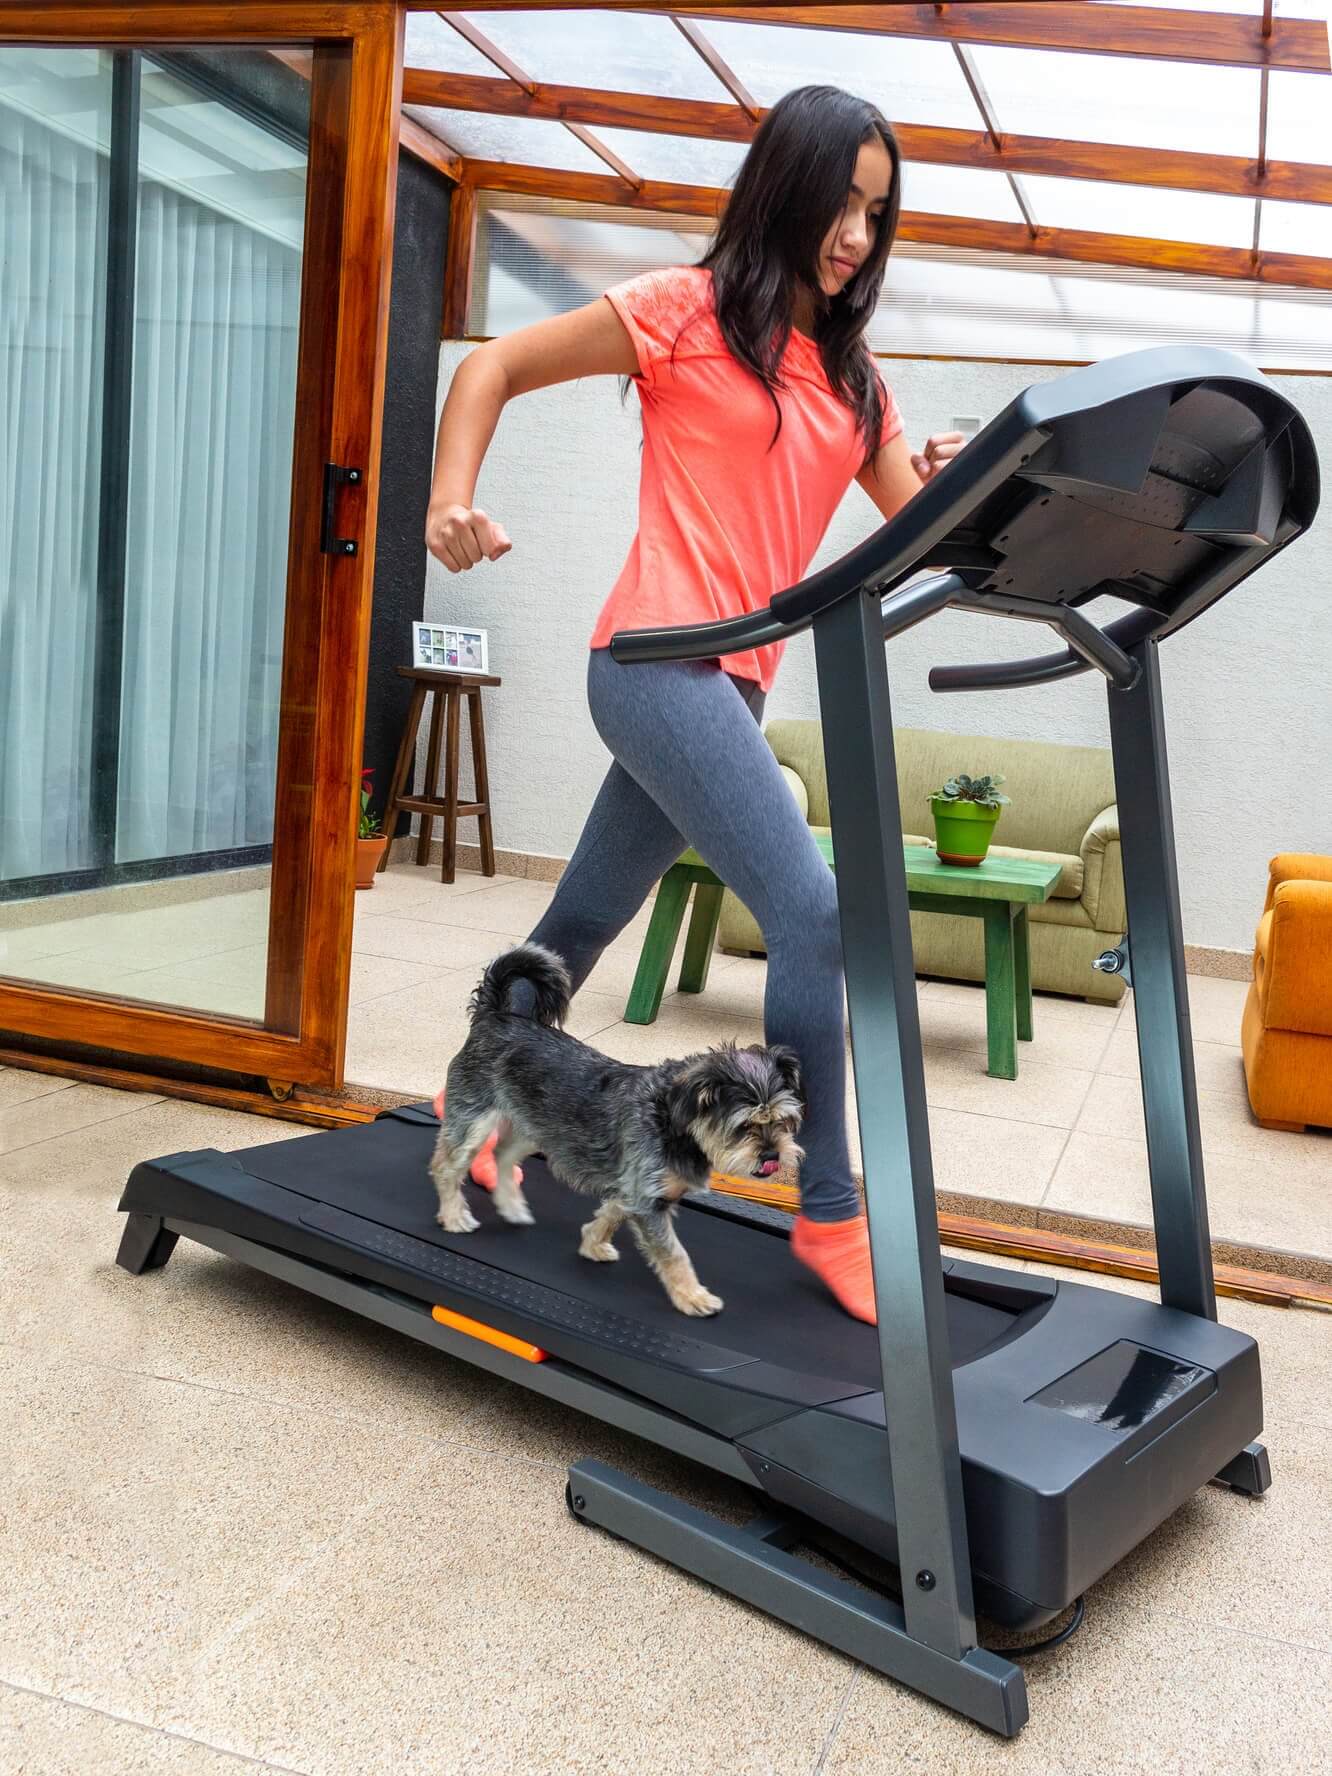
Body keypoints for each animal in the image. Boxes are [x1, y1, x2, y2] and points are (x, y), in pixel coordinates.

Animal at [429, 944, 802, 1321]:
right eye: (745, 1126)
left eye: (783, 1121)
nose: (773, 1155)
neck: (672, 1121)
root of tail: (494, 1017)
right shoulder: (648, 1200)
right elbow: (674, 1254)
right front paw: (692, 1296)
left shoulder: (635, 1190)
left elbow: (610, 1213)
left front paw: (592, 1243)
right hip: (474, 1122)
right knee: (445, 1167)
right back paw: (454, 1216)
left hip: (533, 1127)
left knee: (502, 1154)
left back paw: (510, 1205)